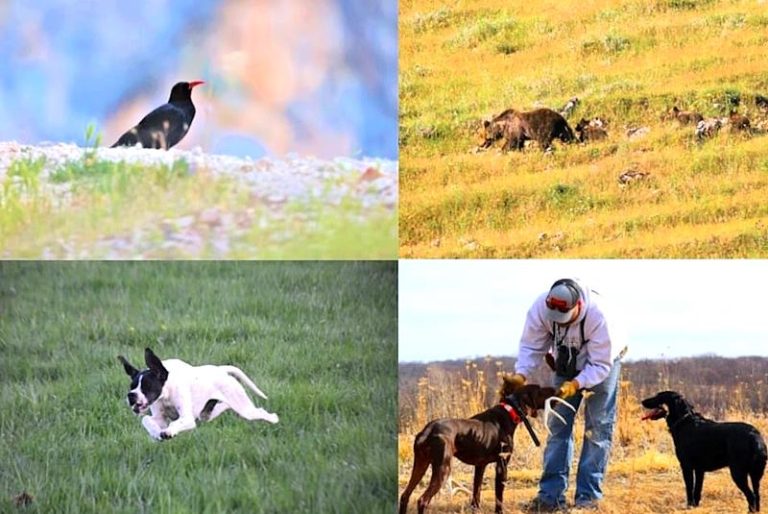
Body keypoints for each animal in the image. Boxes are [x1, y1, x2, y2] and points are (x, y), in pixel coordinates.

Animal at [118, 346, 280, 438]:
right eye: (132, 386)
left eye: (147, 386)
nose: (131, 395)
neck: (167, 393)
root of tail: (221, 370)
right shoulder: (160, 418)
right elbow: (146, 419)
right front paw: (155, 433)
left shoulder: (187, 419)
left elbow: (175, 423)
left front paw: (169, 432)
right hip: (206, 414)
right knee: (224, 406)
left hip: (243, 408)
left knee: (261, 412)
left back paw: (274, 419)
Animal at [400, 380, 556, 512]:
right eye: (540, 390)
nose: (555, 389)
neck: (509, 411)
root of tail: (428, 430)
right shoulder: (502, 465)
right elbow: (499, 499)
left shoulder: (480, 466)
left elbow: (476, 494)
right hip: (443, 469)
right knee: (422, 500)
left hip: (420, 464)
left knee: (404, 495)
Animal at [640, 390, 768, 510]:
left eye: (659, 396)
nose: (642, 401)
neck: (684, 421)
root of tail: (755, 435)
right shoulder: (699, 469)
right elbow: (697, 490)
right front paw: (695, 506)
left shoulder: (686, 466)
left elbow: (689, 488)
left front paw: (689, 506)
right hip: (756, 474)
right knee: (757, 495)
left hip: (738, 472)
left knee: (751, 496)